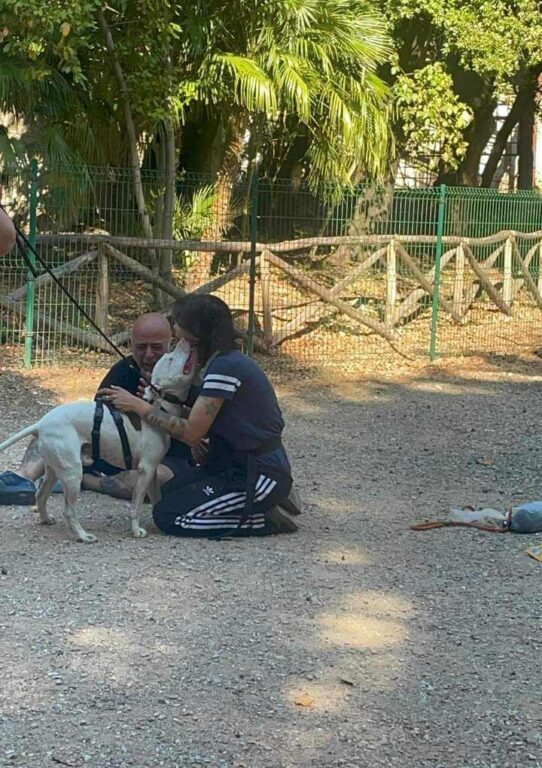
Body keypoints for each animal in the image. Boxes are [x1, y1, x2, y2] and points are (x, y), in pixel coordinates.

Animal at [0, 340, 196, 542]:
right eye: (170, 359)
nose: (183, 340)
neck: (160, 408)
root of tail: (40, 424)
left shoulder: (153, 471)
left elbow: (156, 498)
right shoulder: (145, 470)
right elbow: (135, 505)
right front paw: (136, 530)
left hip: (55, 468)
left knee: (40, 495)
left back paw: (46, 519)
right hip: (73, 472)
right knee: (68, 511)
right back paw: (83, 535)